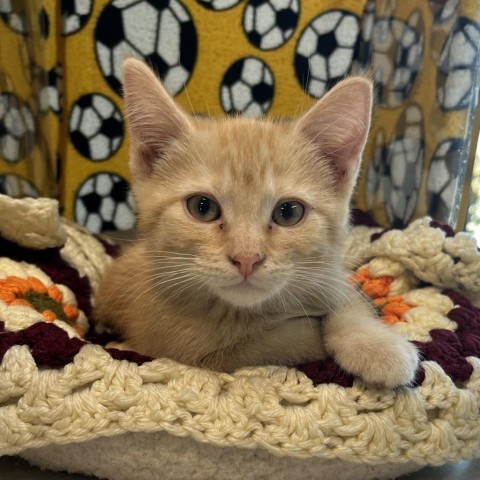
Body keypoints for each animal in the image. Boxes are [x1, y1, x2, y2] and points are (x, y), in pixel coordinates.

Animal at [95, 58, 418, 388]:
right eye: (202, 207)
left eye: (289, 212)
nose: (246, 258)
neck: (244, 312)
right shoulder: (183, 348)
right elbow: (282, 343)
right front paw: (314, 331)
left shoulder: (330, 276)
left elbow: (346, 299)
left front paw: (376, 344)